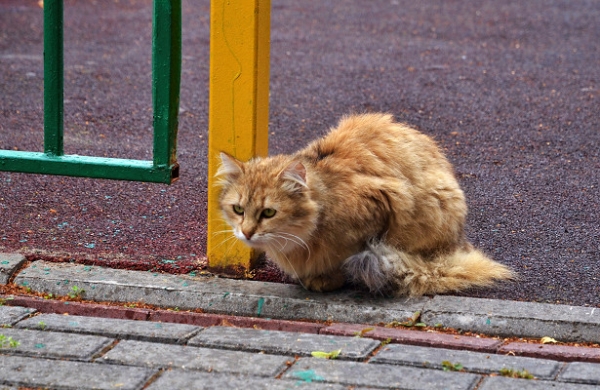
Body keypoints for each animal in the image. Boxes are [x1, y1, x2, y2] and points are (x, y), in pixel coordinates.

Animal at [217, 112, 516, 296]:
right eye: (238, 210)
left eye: (269, 213)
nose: (247, 232)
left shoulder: (382, 204)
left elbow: (348, 255)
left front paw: (327, 279)